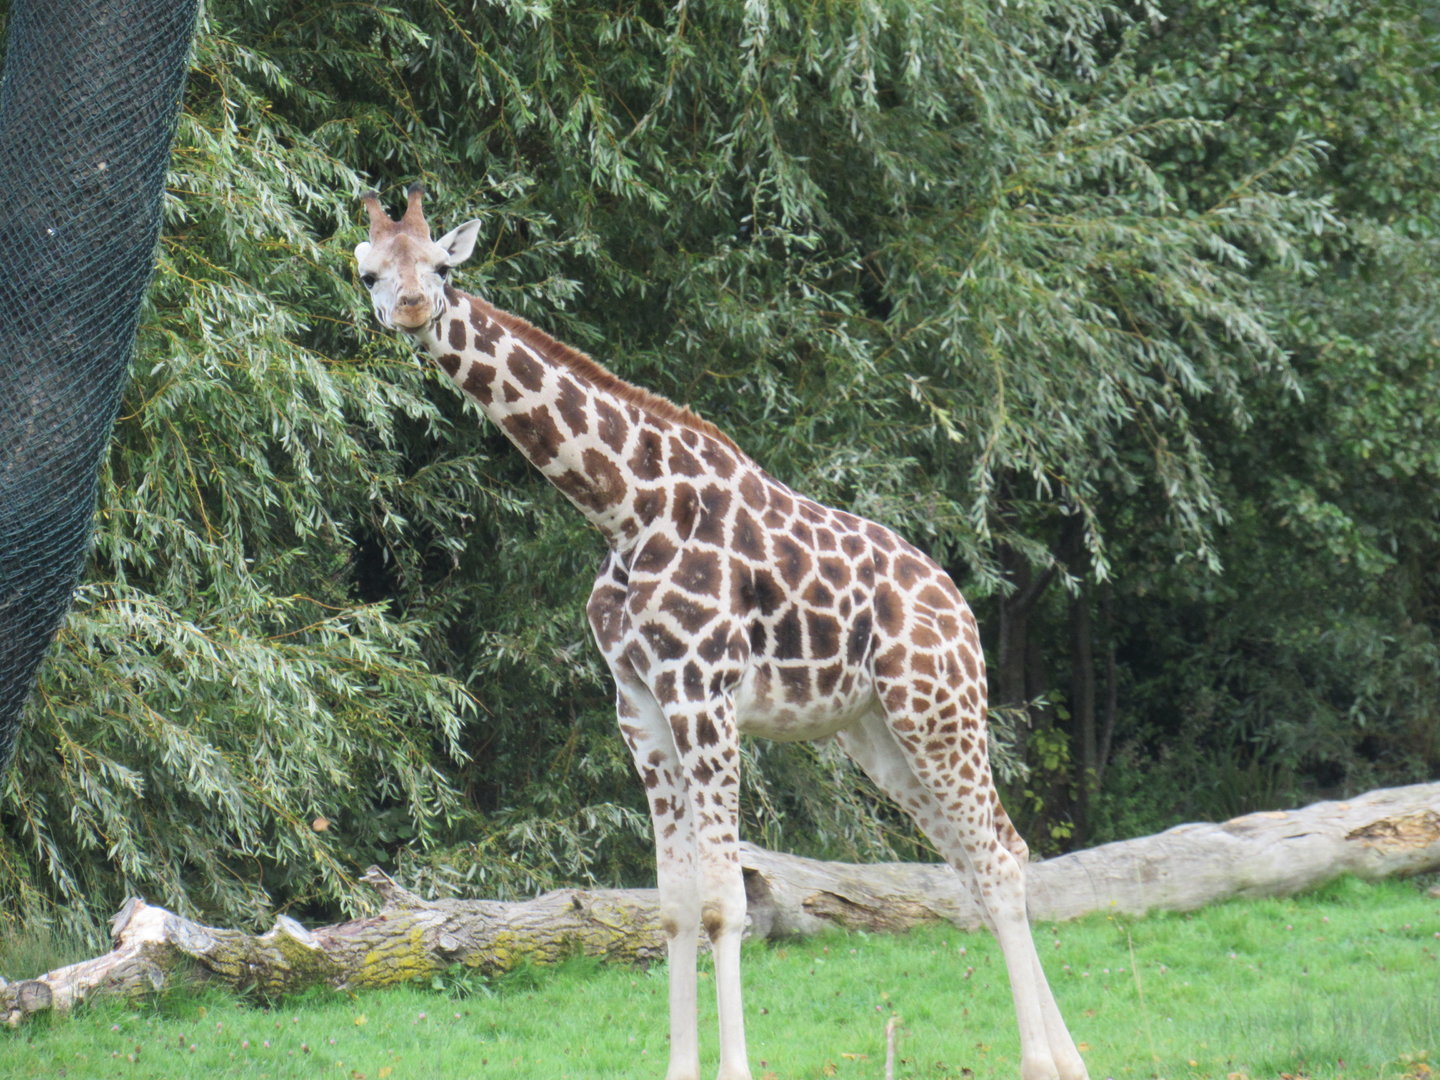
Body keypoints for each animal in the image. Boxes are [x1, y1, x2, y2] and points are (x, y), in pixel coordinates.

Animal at [353, 184, 1089, 1080]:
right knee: (984, 857)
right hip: (876, 734)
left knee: (995, 855)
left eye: (441, 266)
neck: (621, 508)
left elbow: (725, 906)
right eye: (369, 270)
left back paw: (1041, 1062)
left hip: (938, 707)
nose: (411, 307)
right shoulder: (638, 705)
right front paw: (680, 1066)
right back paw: (1069, 1059)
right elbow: (673, 908)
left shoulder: (704, 694)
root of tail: (958, 604)